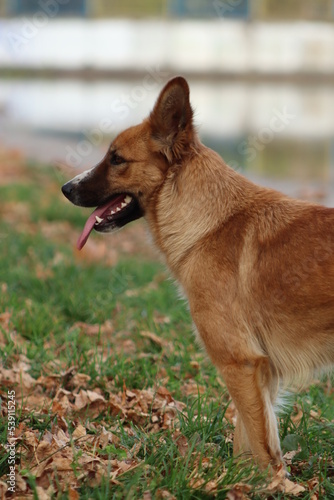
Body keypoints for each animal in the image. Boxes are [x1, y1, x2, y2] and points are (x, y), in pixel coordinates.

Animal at [62, 77, 334, 472]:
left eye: (116, 159)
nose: (65, 188)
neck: (212, 224)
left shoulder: (240, 363)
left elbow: (260, 448)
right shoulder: (256, 372)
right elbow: (247, 443)